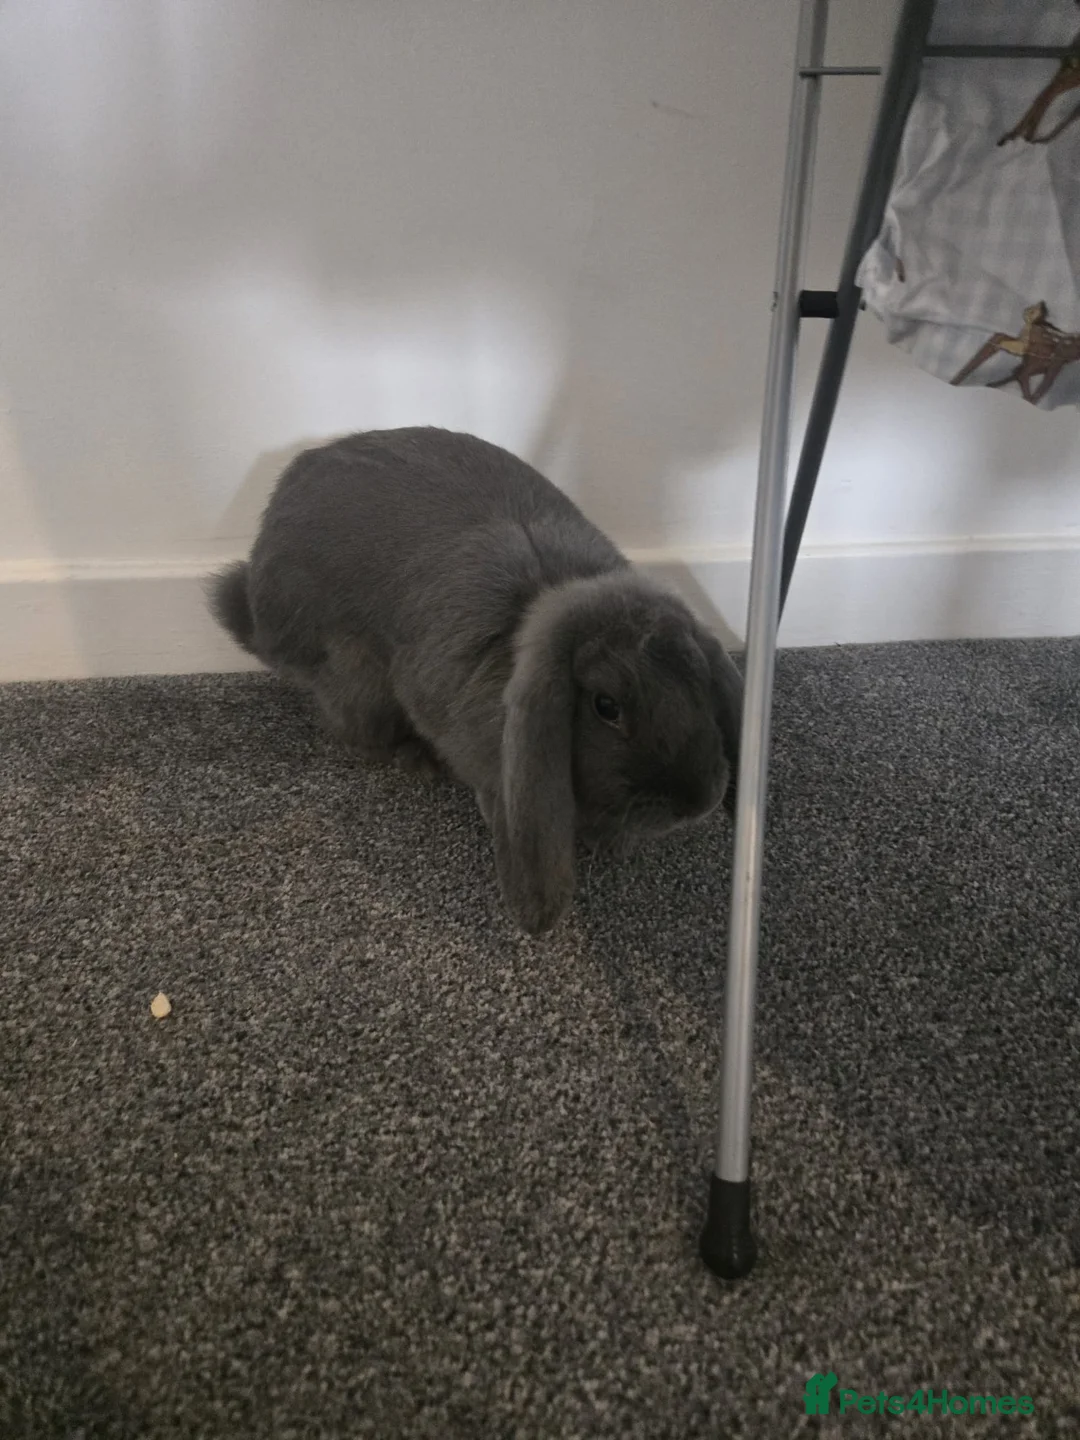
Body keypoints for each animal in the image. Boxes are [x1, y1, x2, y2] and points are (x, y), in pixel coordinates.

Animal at [208, 427, 742, 934]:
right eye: (606, 706)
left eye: (699, 679)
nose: (697, 802)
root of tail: (259, 615)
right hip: (357, 678)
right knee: (354, 732)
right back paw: (417, 759)